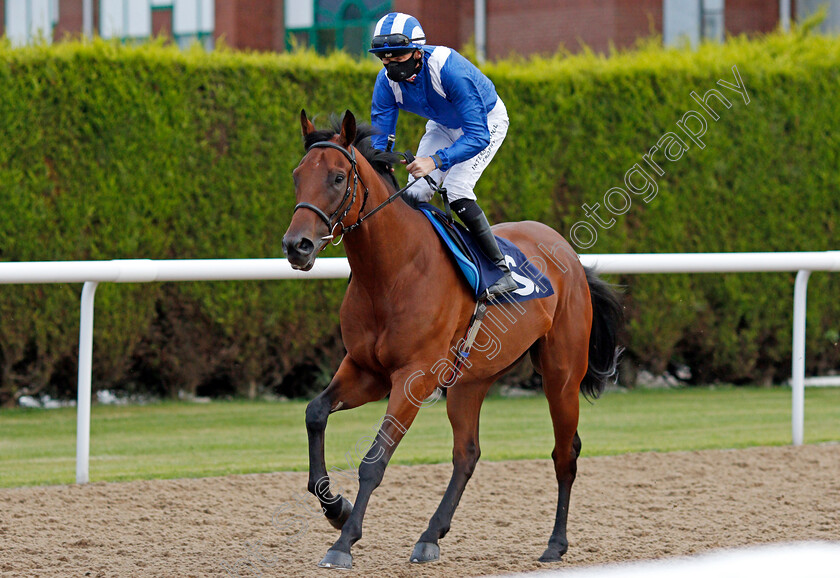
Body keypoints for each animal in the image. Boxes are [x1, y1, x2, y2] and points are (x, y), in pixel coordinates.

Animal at [284, 109, 624, 568]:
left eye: (338, 177)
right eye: (298, 176)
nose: (296, 246)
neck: (391, 271)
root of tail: (568, 253)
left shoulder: (414, 377)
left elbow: (374, 459)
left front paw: (343, 541)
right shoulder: (366, 370)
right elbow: (315, 413)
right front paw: (336, 508)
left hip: (562, 374)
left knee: (564, 453)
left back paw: (555, 544)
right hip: (470, 381)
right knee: (467, 453)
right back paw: (431, 535)